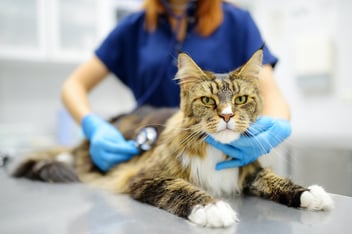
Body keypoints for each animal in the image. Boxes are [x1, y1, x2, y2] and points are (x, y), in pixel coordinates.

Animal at [12, 49, 334, 227]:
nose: (227, 115)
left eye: (241, 99)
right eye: (208, 101)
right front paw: (213, 208)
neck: (217, 153)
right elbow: (182, 188)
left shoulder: (249, 171)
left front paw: (310, 193)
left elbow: (276, 180)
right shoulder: (146, 175)